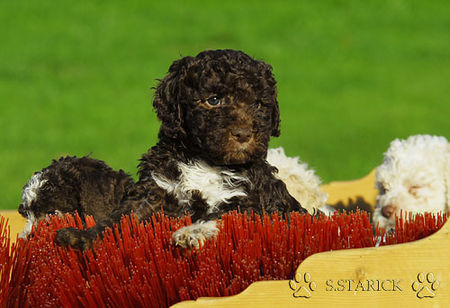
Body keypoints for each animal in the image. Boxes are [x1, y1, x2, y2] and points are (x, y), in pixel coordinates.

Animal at [56, 48, 308, 250]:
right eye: (213, 100)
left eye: (259, 104)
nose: (243, 134)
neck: (205, 161)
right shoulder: (153, 190)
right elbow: (120, 218)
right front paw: (83, 236)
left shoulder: (250, 201)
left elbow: (219, 216)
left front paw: (191, 233)